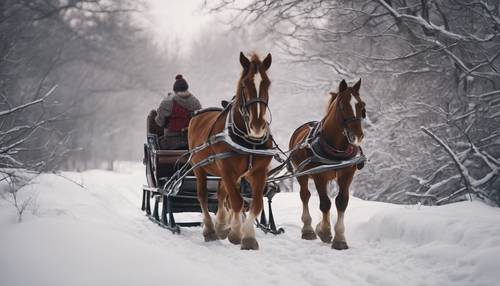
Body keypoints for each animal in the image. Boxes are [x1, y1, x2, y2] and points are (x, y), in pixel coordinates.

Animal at [188, 52, 274, 250]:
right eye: (244, 84)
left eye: (267, 83)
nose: (257, 126)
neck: (249, 141)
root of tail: (198, 115)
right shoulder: (227, 168)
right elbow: (236, 201)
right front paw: (236, 233)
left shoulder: (258, 172)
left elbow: (255, 204)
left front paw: (247, 236)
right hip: (199, 167)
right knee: (203, 196)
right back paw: (210, 229)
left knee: (221, 194)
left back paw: (221, 224)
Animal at [288, 79, 366, 250]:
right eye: (342, 105)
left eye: (362, 105)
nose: (357, 136)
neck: (337, 147)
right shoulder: (319, 175)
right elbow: (325, 203)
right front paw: (324, 231)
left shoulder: (347, 174)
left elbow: (341, 202)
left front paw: (340, 238)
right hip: (301, 174)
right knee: (305, 195)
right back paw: (308, 229)